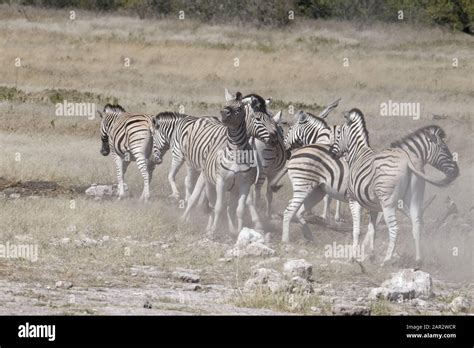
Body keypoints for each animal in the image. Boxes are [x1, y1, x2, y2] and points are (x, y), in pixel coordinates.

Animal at [181, 91, 278, 235]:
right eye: (258, 119)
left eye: (270, 118)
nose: (275, 137)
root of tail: (204, 117)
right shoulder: (220, 180)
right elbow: (220, 205)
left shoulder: (245, 183)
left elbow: (239, 206)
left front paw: (244, 227)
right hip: (194, 168)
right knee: (195, 194)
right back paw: (185, 218)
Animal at [330, 109, 460, 266]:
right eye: (444, 148)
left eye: (338, 134)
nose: (331, 153)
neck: (358, 155)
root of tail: (407, 160)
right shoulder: (374, 205)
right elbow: (372, 229)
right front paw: (370, 254)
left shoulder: (354, 200)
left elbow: (357, 229)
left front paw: (354, 256)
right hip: (414, 198)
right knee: (417, 224)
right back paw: (418, 259)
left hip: (388, 203)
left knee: (394, 228)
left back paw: (387, 259)